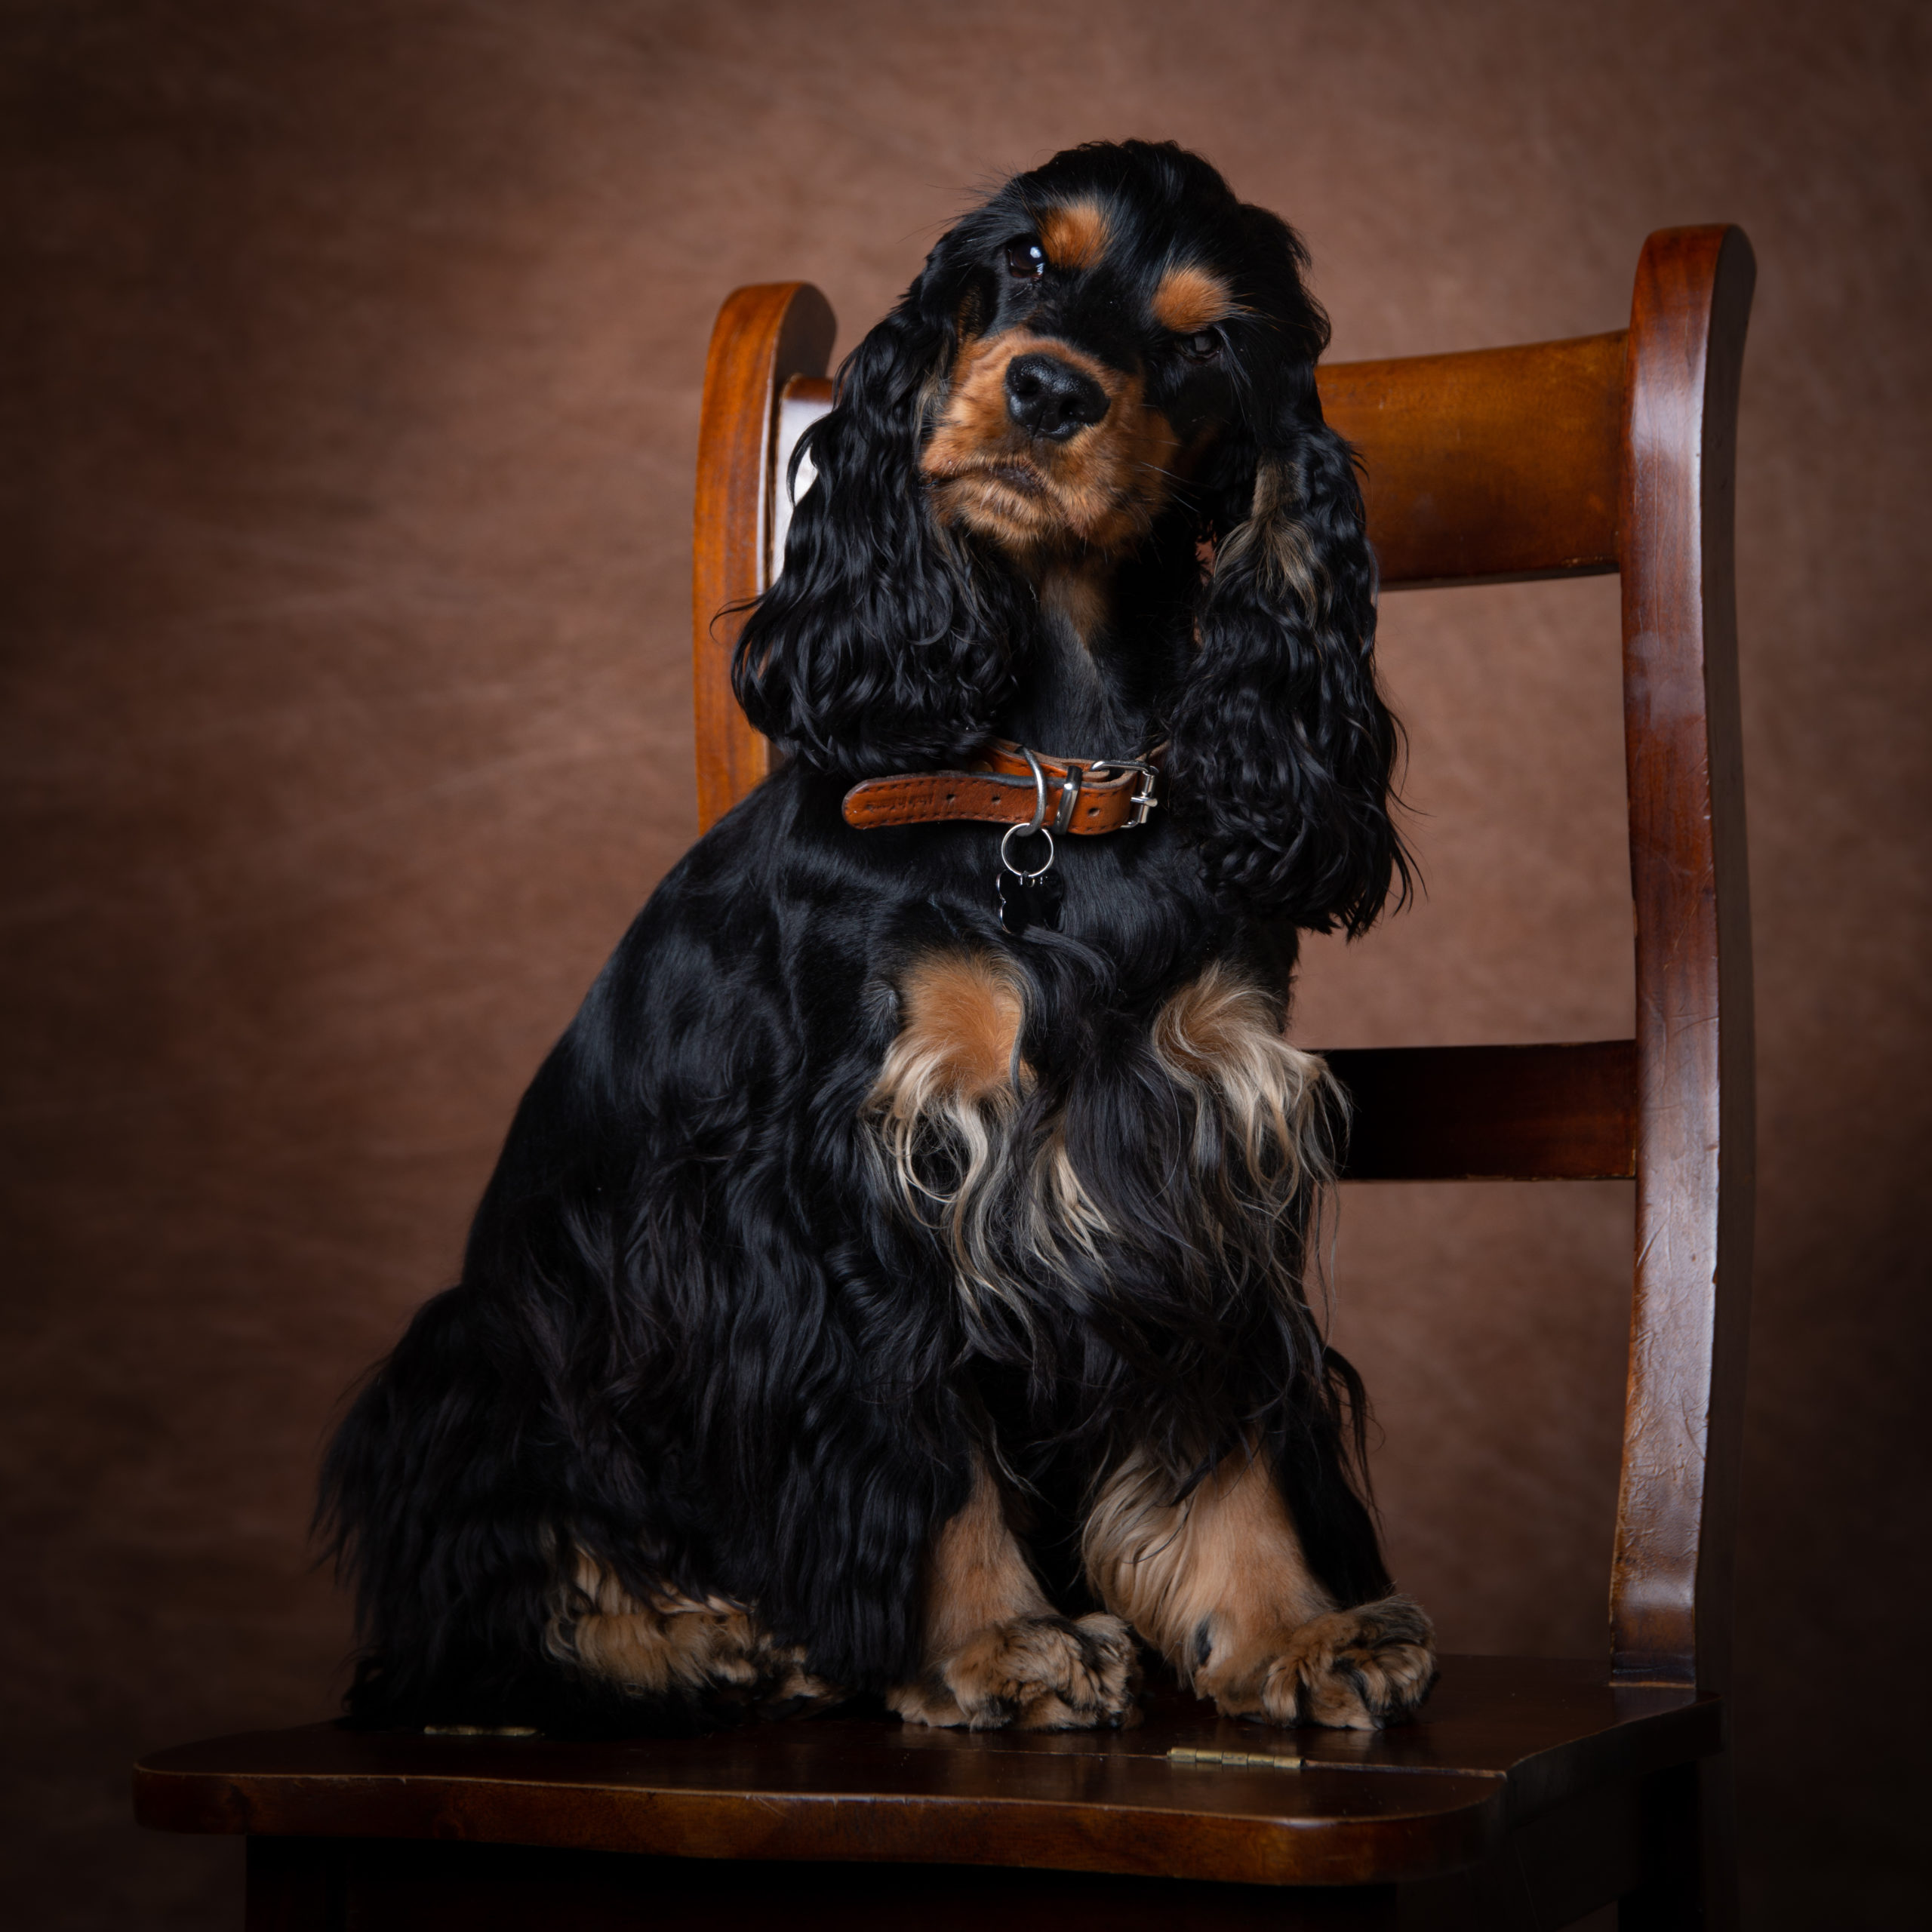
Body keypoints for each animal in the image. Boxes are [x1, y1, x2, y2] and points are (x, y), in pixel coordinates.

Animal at [320, 136, 1437, 1739]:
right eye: (1028, 261)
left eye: (1206, 341)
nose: (1049, 392)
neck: (1051, 783)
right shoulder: (861, 1152)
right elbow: (912, 1425)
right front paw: (992, 1645)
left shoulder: (1199, 1130)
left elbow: (1221, 1424)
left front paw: (1284, 1630)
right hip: (477, 1355)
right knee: (487, 1582)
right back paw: (690, 1635)